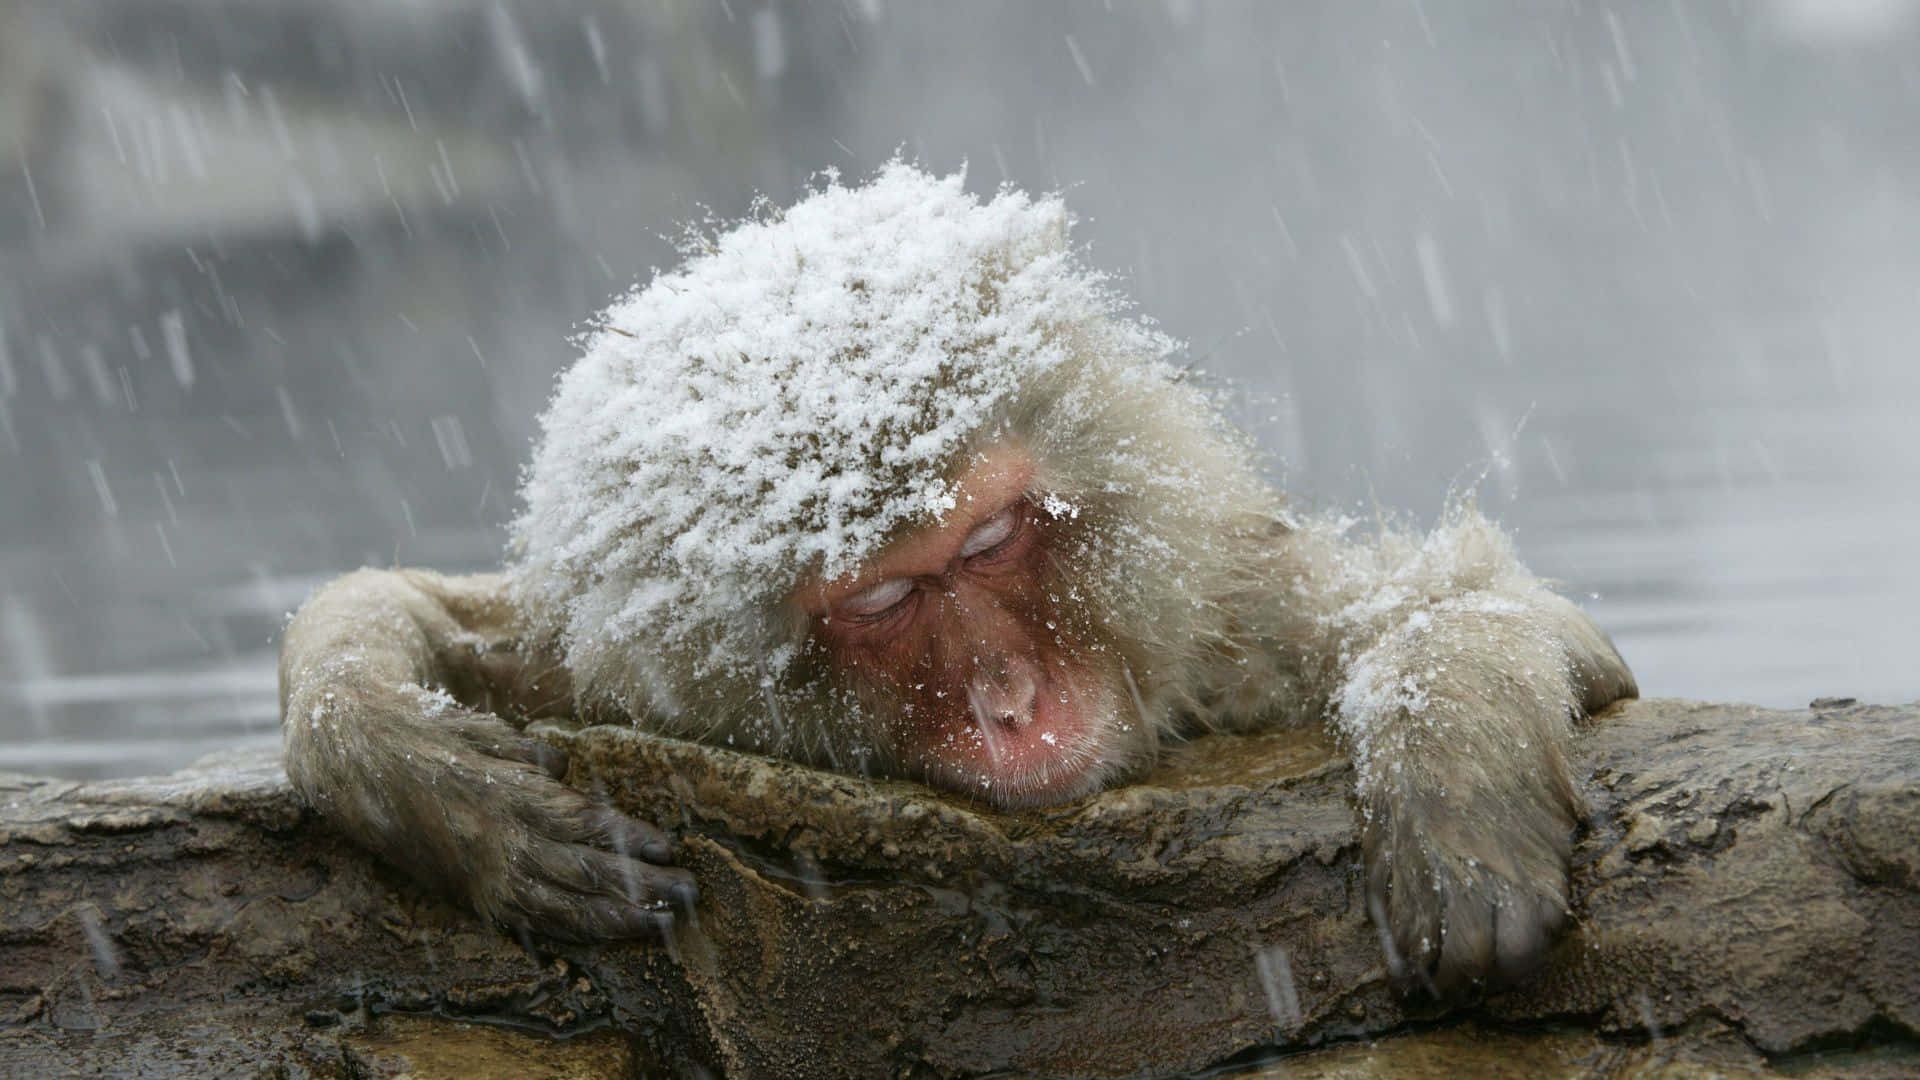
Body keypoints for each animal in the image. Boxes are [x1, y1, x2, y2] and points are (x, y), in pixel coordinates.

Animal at [279, 163, 1636, 998]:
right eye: (884, 601)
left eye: (987, 544)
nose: (1010, 697)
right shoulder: (603, 669)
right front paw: (423, 775)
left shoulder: (1233, 610)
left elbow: (1501, 621)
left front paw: (1457, 794)